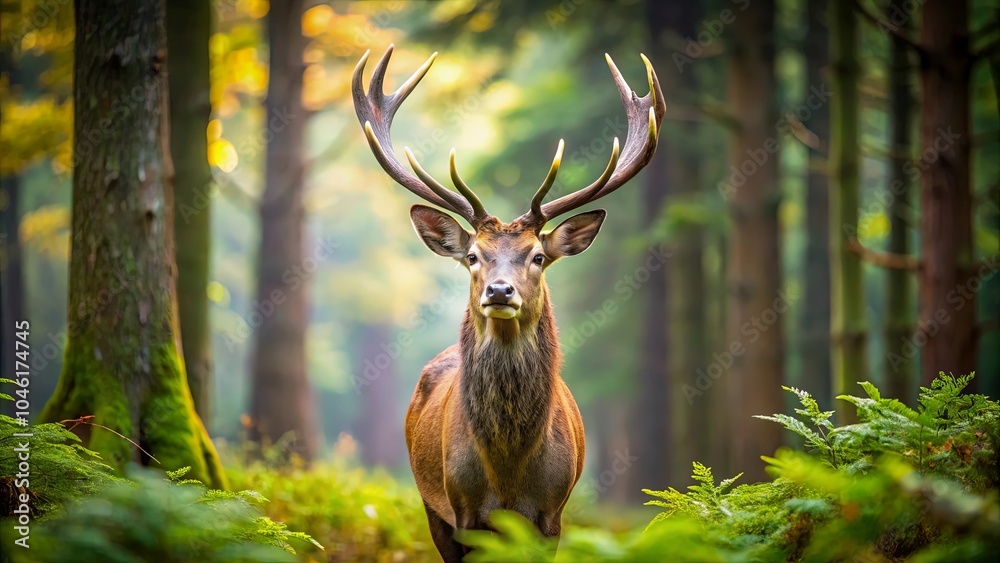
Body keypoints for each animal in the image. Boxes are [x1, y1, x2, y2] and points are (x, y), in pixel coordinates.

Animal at [352, 45, 664, 561]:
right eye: (473, 256)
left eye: (537, 255)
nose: (499, 291)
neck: (508, 471)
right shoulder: (461, 511)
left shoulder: (551, 515)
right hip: (429, 502)